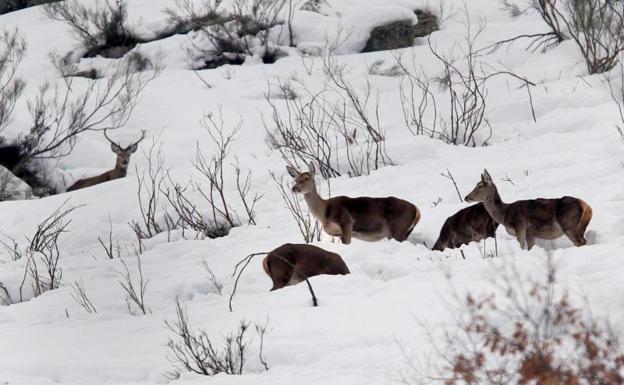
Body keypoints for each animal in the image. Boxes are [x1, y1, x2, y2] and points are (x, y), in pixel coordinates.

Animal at [286, 162, 422, 243]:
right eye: (295, 179)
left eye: (306, 178)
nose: (294, 189)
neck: (324, 213)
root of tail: (417, 211)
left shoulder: (346, 222)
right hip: (400, 232)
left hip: (398, 228)